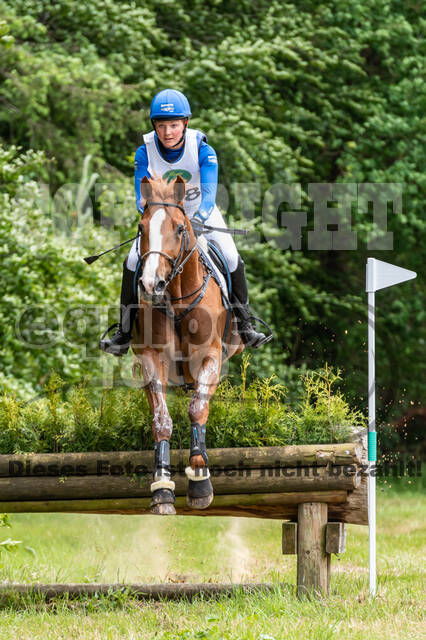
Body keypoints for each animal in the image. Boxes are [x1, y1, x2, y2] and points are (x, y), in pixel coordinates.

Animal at [131, 175, 244, 515]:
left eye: (181, 228)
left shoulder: (211, 356)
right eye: (141, 228)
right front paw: (161, 488)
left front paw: (199, 481)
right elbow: (161, 419)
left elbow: (197, 408)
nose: (150, 285)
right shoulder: (151, 357)